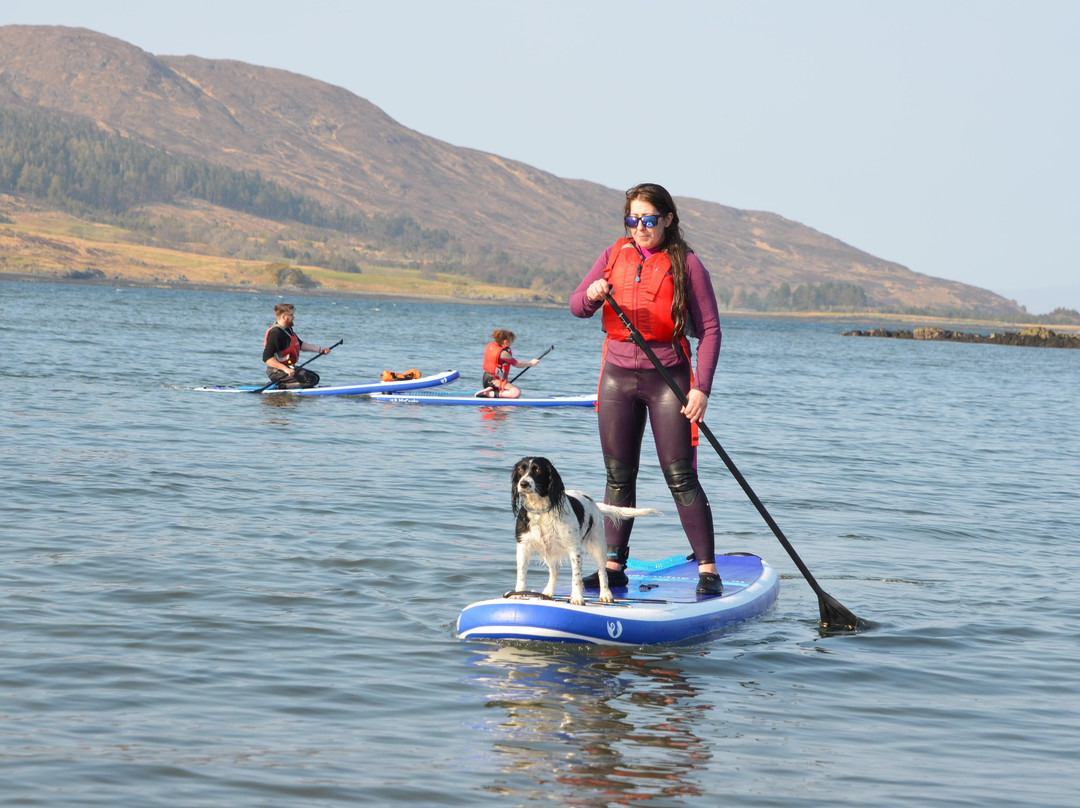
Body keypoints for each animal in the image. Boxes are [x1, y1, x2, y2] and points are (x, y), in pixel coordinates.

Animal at [511, 458, 660, 604]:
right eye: (520, 470)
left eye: (538, 470)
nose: (523, 483)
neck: (541, 511)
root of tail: (595, 504)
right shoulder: (523, 546)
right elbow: (521, 575)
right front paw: (517, 594)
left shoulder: (574, 549)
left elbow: (577, 577)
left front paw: (577, 598)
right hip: (550, 549)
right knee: (555, 570)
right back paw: (548, 592)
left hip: (599, 547)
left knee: (603, 572)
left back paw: (606, 594)